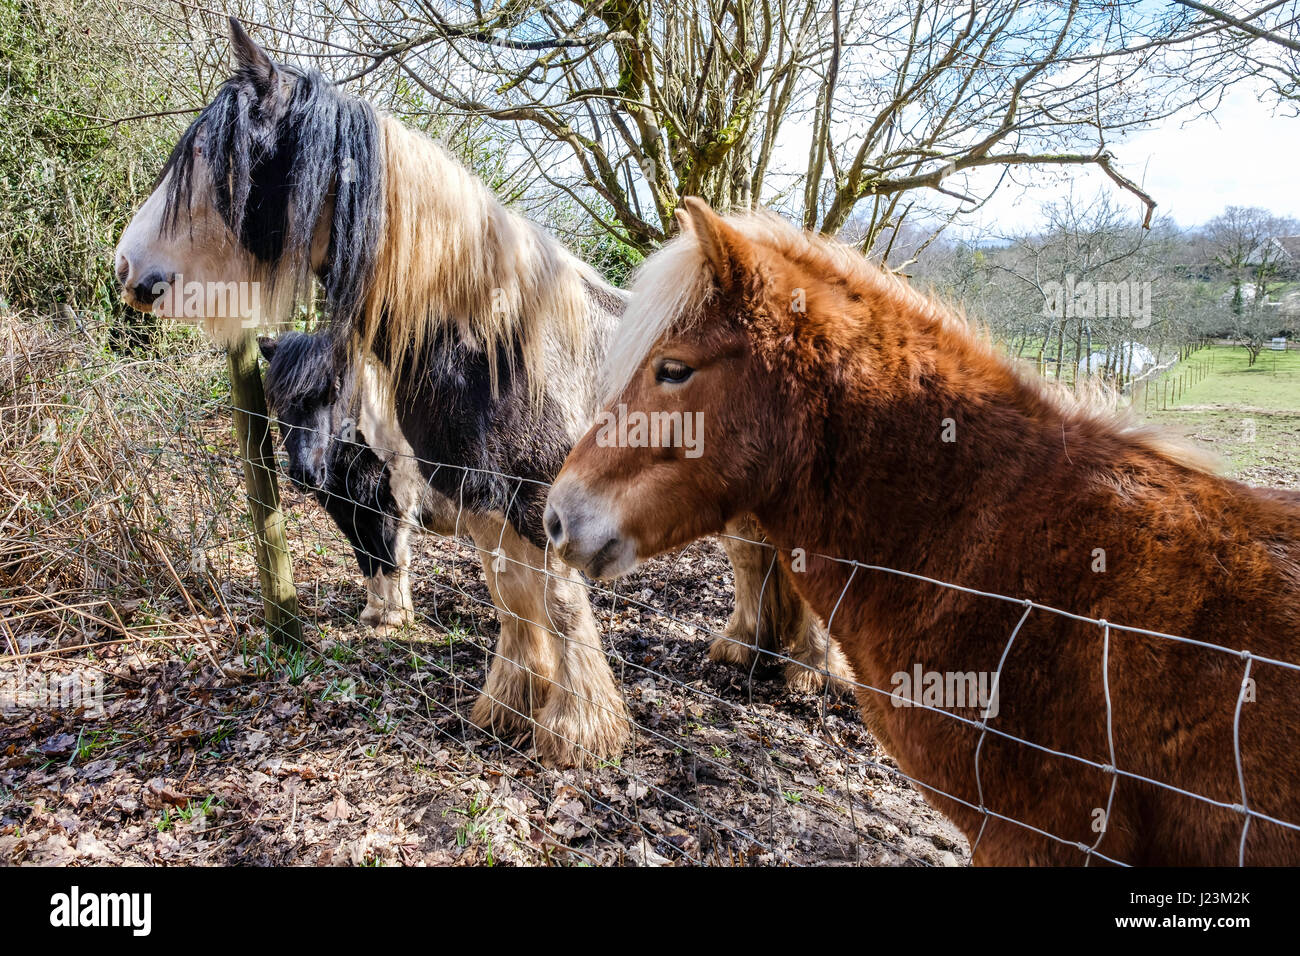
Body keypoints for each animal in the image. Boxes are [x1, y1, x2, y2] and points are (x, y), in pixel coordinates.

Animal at [112, 20, 848, 766]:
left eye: (207, 153)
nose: (126, 268)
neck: (493, 348)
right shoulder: (480, 503)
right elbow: (510, 597)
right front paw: (510, 707)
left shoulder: (535, 504)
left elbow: (557, 605)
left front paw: (578, 733)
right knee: (752, 559)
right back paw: (743, 648)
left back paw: (812, 671)